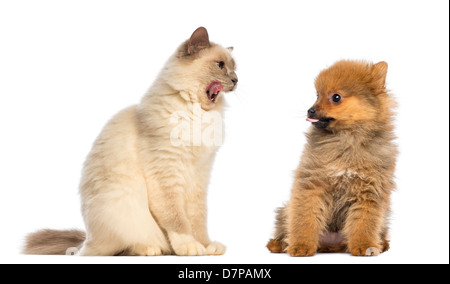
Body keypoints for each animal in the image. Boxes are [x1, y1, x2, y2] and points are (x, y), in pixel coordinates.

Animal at [23, 26, 239, 256]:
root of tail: (86, 239)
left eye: (235, 68)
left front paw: (207, 246)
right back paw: (150, 249)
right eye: (220, 65)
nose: (236, 80)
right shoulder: (167, 173)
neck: (197, 116)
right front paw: (189, 246)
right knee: (121, 247)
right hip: (121, 205)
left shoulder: (199, 175)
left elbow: (198, 220)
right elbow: (177, 220)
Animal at [268, 60, 398, 258]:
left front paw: (365, 245)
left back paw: (381, 244)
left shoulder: (369, 192)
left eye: (336, 97)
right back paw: (278, 244)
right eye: (317, 95)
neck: (347, 138)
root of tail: (332, 245)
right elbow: (304, 219)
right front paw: (301, 245)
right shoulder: (312, 185)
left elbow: (364, 223)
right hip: (285, 211)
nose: (310, 110)